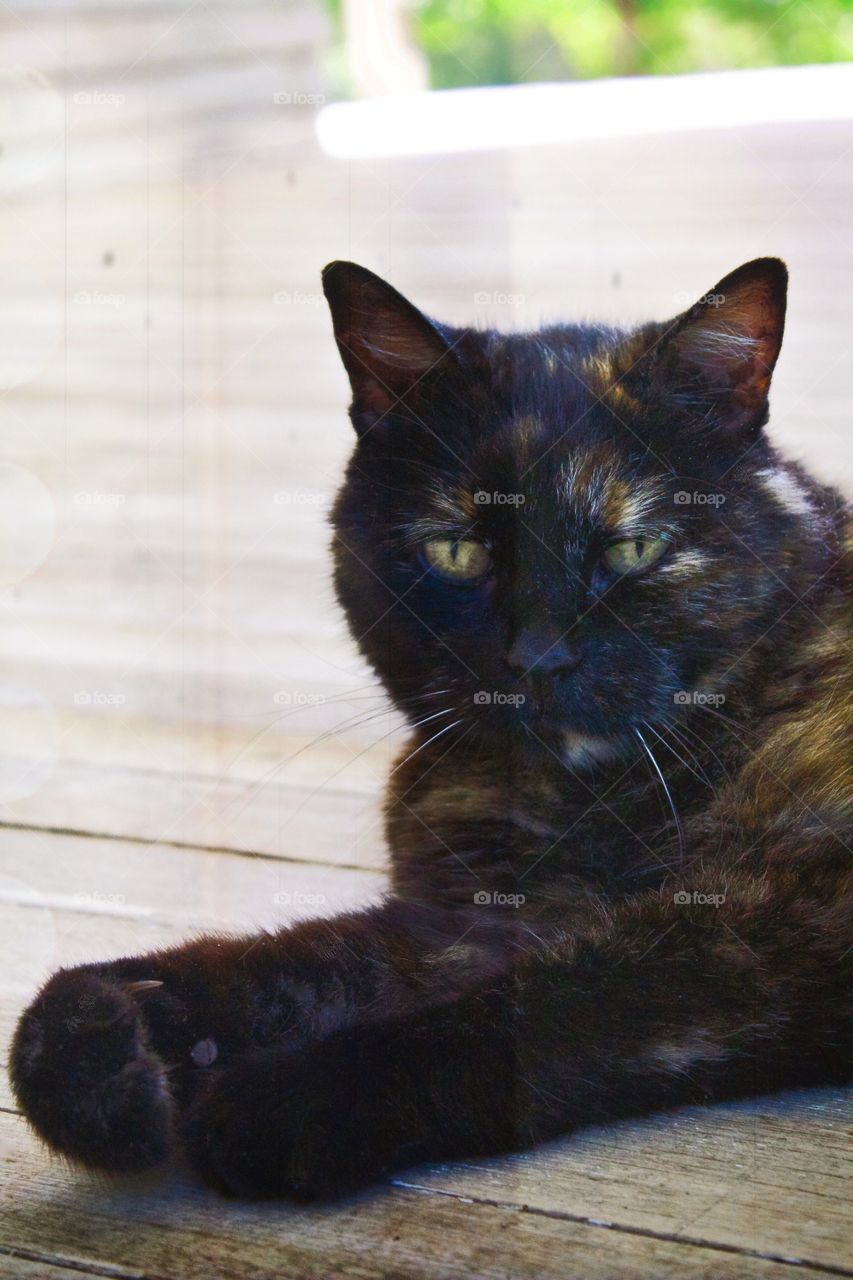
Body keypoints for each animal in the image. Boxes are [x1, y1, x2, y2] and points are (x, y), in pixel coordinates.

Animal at [9, 257, 845, 1198]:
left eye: (633, 550)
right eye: (456, 553)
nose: (537, 659)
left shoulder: (783, 916)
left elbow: (549, 1003)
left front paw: (288, 1100)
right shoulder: (470, 918)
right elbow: (278, 968)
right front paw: (99, 1050)